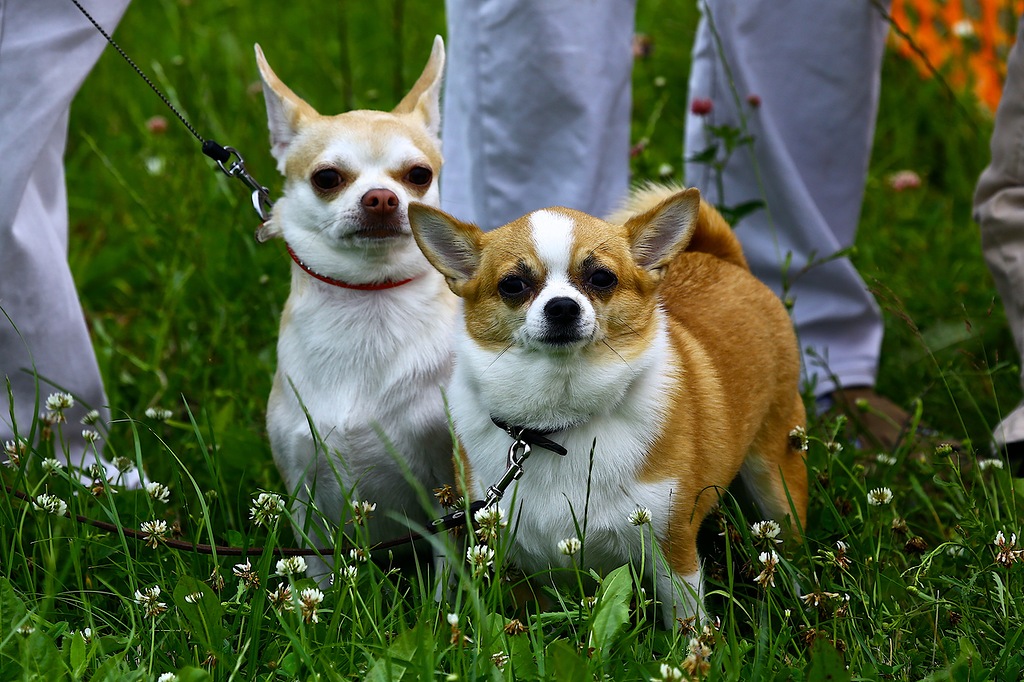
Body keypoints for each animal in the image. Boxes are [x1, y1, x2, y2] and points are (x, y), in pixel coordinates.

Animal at [256, 37, 456, 577]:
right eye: (327, 177)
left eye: (419, 175)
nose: (382, 197)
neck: (369, 305)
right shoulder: (305, 497)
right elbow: (317, 578)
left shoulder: (450, 493)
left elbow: (450, 577)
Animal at [407, 184, 808, 626]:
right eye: (512, 284)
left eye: (602, 278)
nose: (562, 306)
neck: (556, 426)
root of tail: (722, 258)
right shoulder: (514, 562)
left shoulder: (672, 552)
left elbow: (688, 623)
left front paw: (693, 646)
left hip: (776, 475)